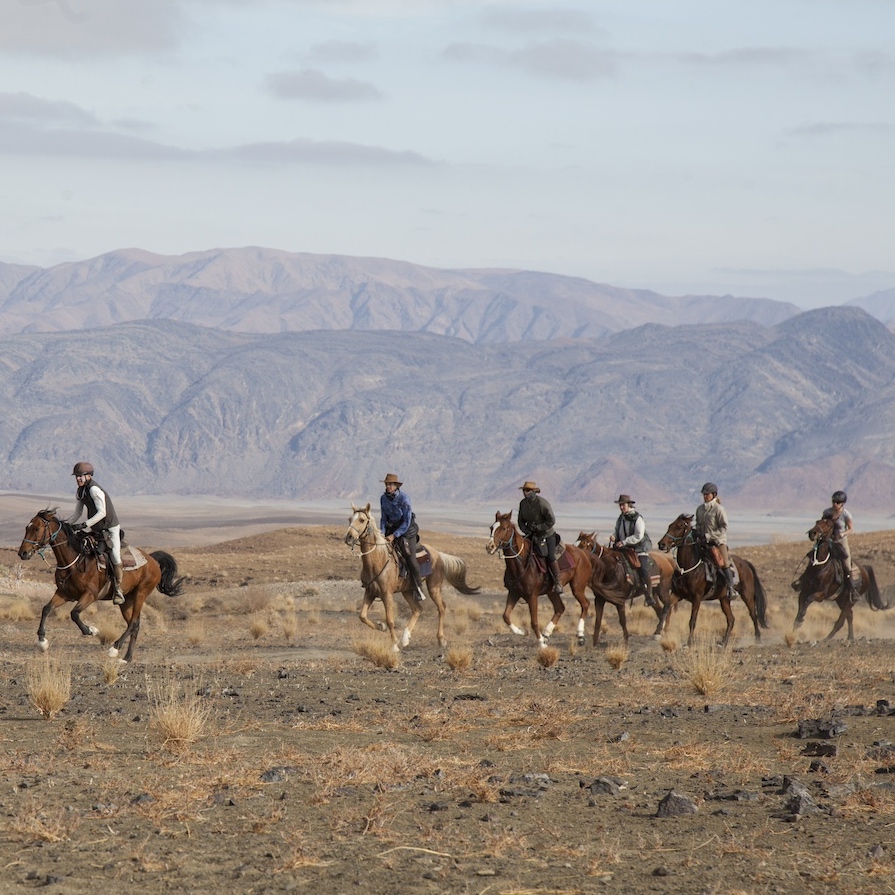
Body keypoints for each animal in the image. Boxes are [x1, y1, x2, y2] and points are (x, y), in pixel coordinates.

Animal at [18, 508, 184, 660]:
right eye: (26, 527)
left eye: (37, 528)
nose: (22, 553)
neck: (75, 560)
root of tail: (153, 560)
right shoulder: (63, 594)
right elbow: (46, 609)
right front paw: (42, 642)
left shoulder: (90, 595)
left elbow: (74, 614)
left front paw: (92, 631)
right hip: (126, 601)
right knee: (134, 624)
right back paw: (127, 658)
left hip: (140, 594)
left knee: (133, 623)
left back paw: (115, 649)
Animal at [344, 504, 484, 652]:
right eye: (349, 519)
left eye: (362, 520)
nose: (349, 537)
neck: (378, 560)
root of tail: (438, 554)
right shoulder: (370, 592)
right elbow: (362, 616)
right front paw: (381, 627)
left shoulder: (387, 594)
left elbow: (390, 620)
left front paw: (394, 645)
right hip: (407, 590)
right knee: (417, 610)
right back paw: (405, 638)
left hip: (433, 587)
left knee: (441, 608)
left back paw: (440, 640)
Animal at [486, 512, 592, 652]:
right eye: (491, 528)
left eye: (503, 528)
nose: (489, 547)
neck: (522, 563)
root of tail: (583, 554)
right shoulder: (514, 593)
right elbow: (506, 616)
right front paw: (522, 632)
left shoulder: (532, 596)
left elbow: (534, 622)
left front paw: (541, 643)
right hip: (552, 592)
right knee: (560, 608)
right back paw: (546, 634)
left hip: (577, 587)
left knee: (585, 604)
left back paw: (579, 635)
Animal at [656, 516, 768, 648]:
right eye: (670, 525)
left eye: (679, 527)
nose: (661, 544)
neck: (688, 568)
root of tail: (745, 563)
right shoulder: (677, 594)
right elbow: (665, 609)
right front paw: (658, 633)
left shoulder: (697, 598)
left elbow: (692, 620)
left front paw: (689, 643)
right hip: (724, 599)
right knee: (731, 619)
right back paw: (723, 643)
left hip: (747, 595)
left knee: (753, 615)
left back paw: (758, 639)